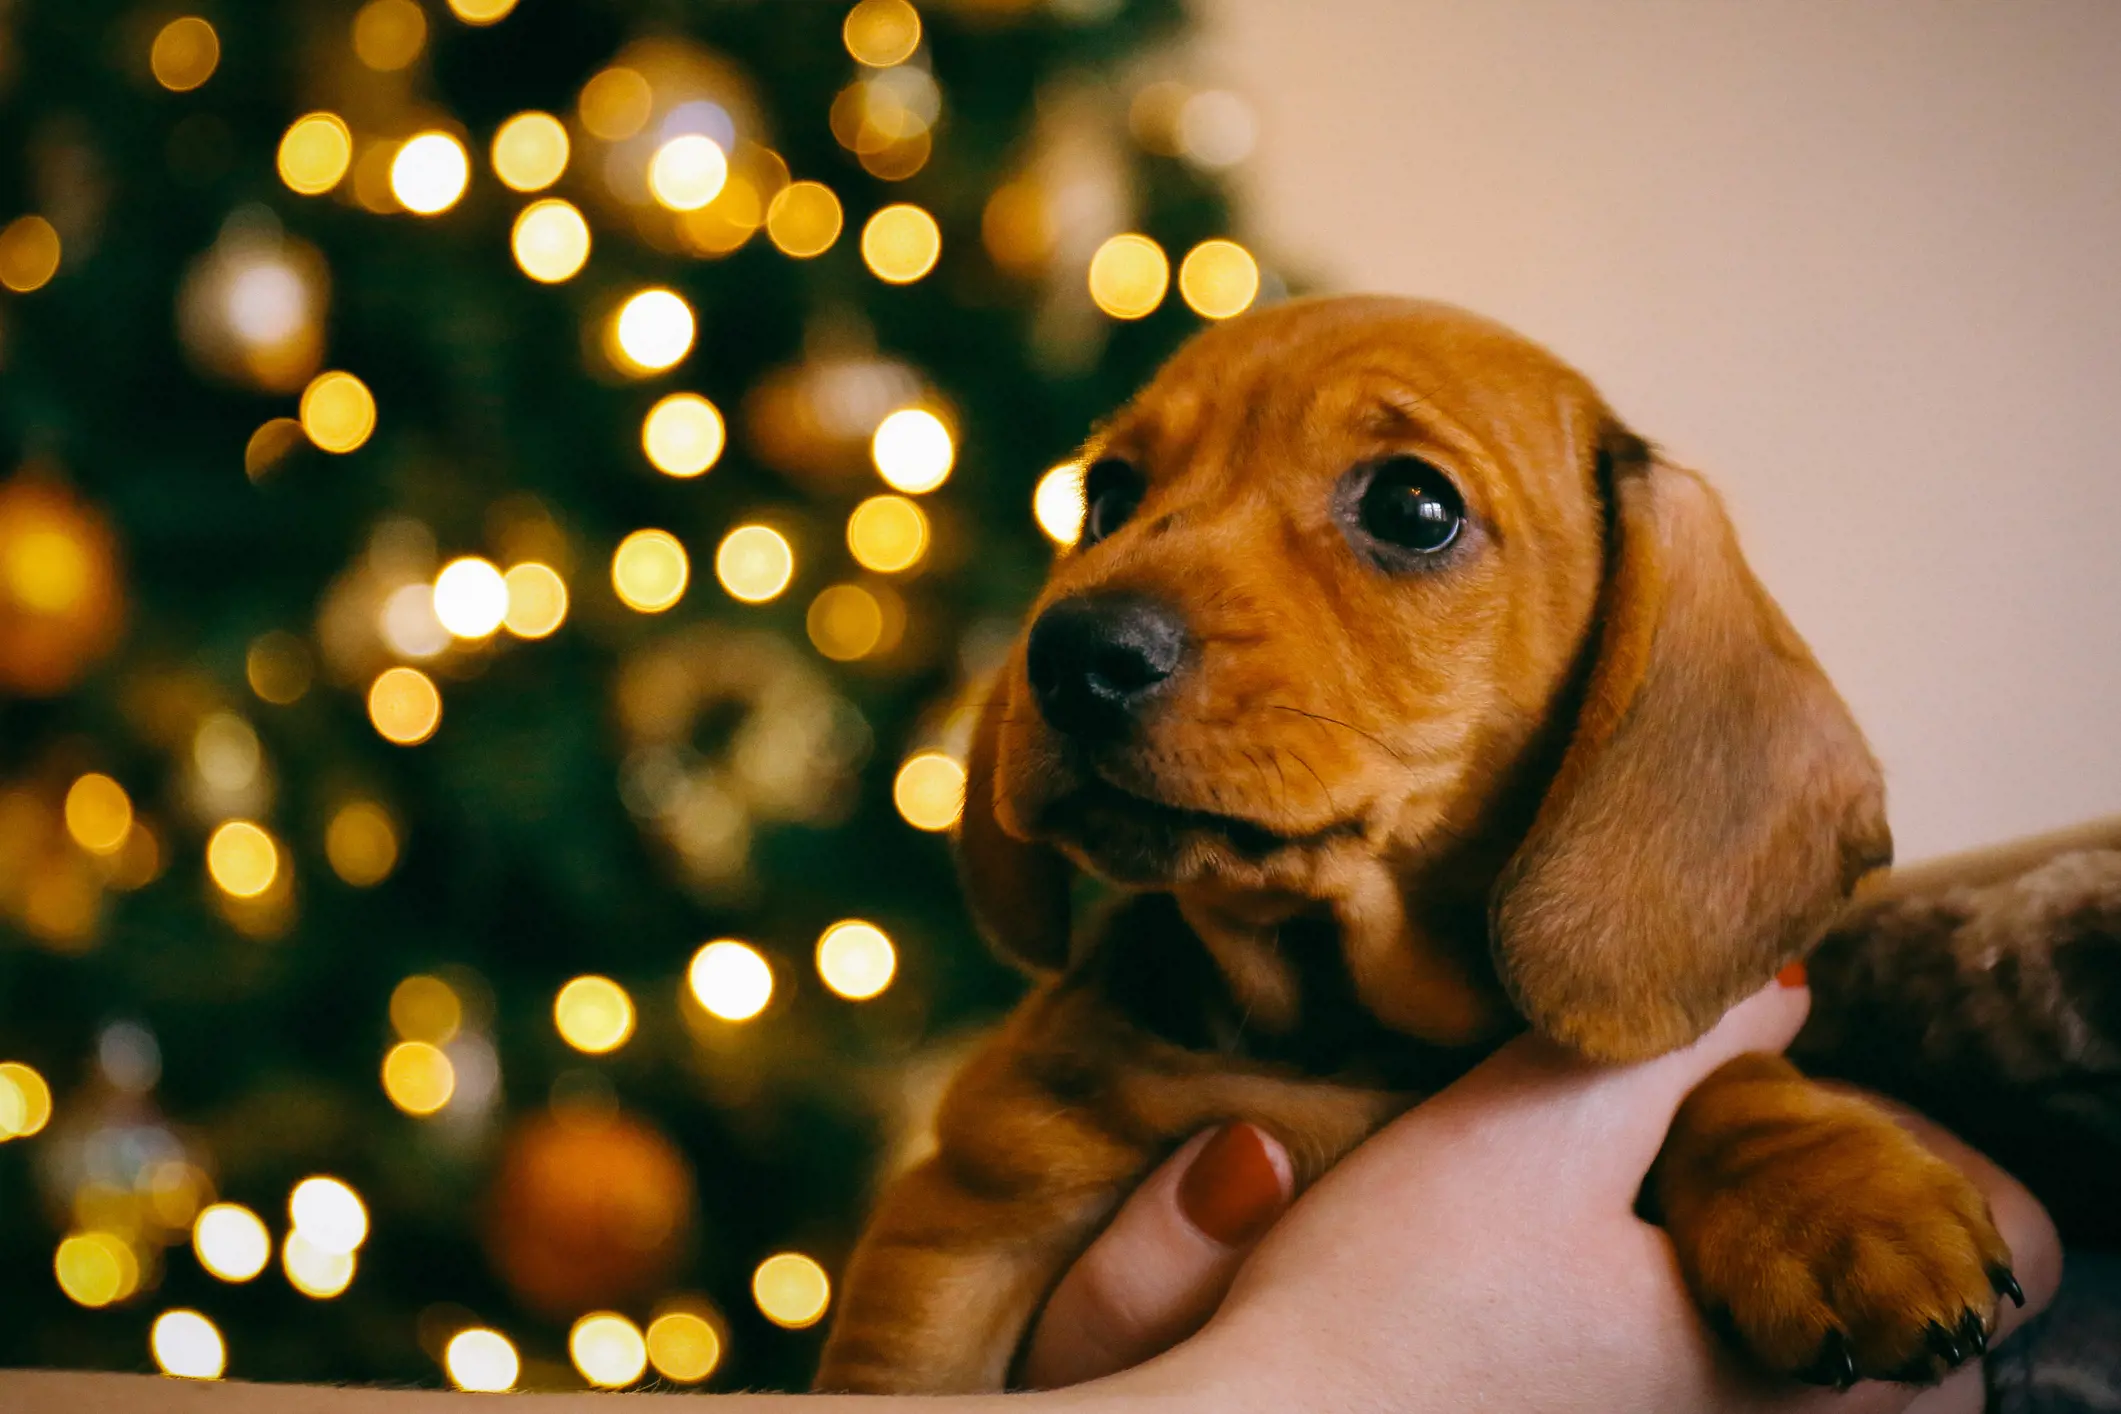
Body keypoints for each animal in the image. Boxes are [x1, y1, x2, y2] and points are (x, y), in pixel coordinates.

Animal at [814, 296, 2019, 1390]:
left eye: (1410, 504)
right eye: (1106, 497)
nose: (1068, 655)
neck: (1336, 1025)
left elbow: (1724, 1076)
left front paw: (1838, 1201)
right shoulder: (962, 1220)